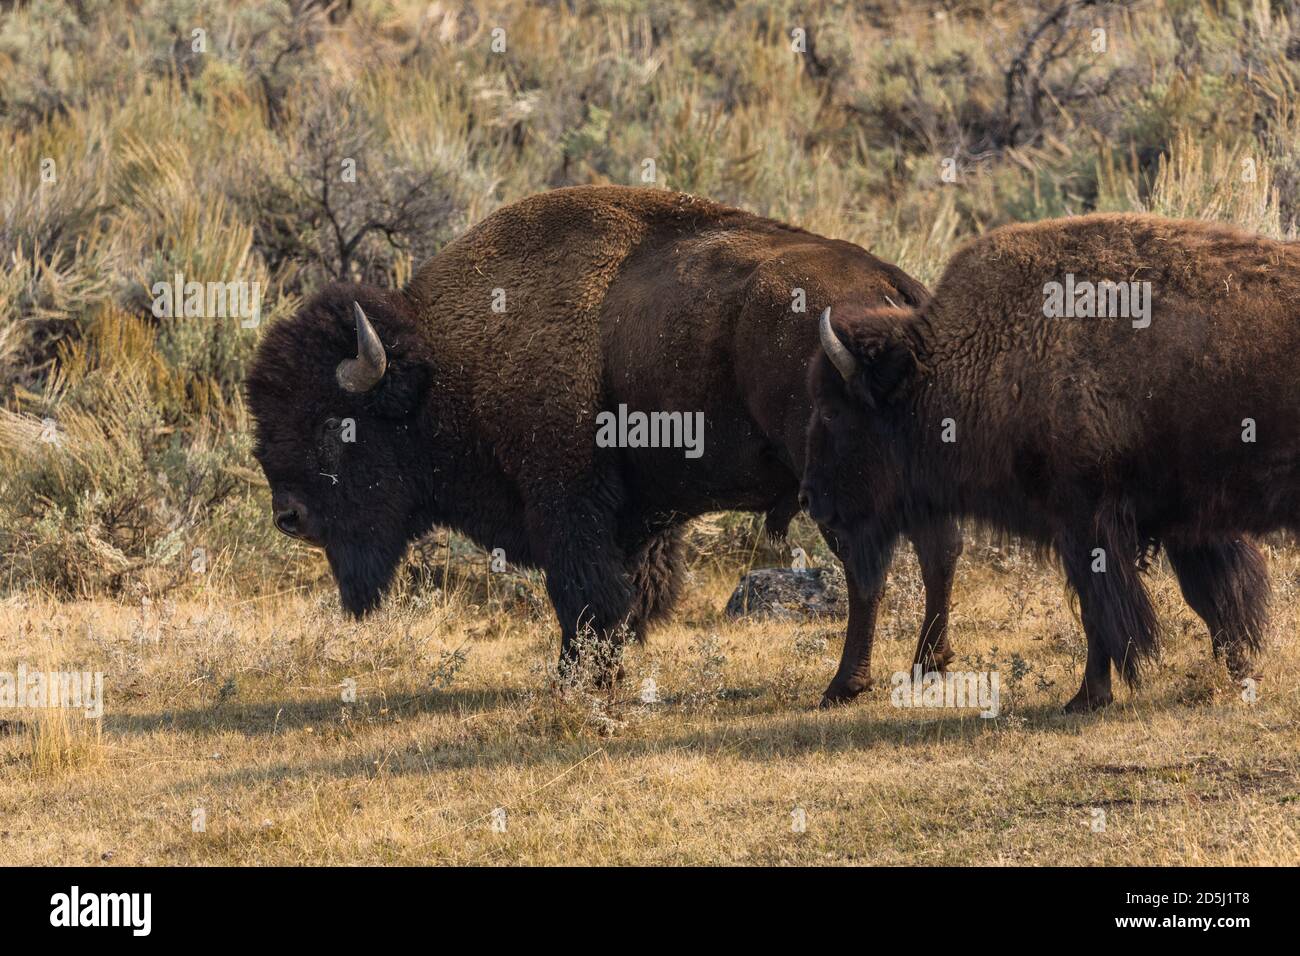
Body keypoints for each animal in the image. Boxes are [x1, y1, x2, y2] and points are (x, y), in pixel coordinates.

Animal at [245, 184, 956, 702]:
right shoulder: (633, 517)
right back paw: (929, 665)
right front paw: (598, 671)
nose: (289, 516)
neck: (444, 364)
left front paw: (579, 681)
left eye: (335, 426)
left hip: (838, 480)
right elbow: (621, 595)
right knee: (938, 549)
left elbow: (582, 594)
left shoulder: (564, 502)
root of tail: (893, 284)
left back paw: (845, 685)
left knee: (870, 566)